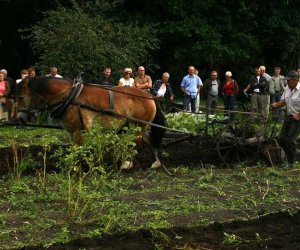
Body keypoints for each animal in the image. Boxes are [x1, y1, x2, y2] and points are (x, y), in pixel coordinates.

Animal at [15, 76, 166, 168]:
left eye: (21, 97)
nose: (20, 119)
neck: (68, 97)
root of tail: (150, 96)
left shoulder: (78, 130)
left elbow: (77, 148)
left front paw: (76, 167)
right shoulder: (72, 131)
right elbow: (76, 148)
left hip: (137, 126)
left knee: (137, 143)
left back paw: (127, 163)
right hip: (137, 126)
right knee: (149, 141)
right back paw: (156, 162)